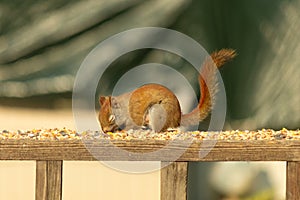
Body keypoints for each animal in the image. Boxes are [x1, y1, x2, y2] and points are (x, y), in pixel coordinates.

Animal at [99, 49, 236, 132]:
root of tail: (178, 118)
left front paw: (124, 130)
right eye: (99, 117)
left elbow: (133, 123)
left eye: (111, 117)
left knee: (161, 129)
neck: (123, 107)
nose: (104, 131)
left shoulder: (135, 113)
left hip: (158, 111)